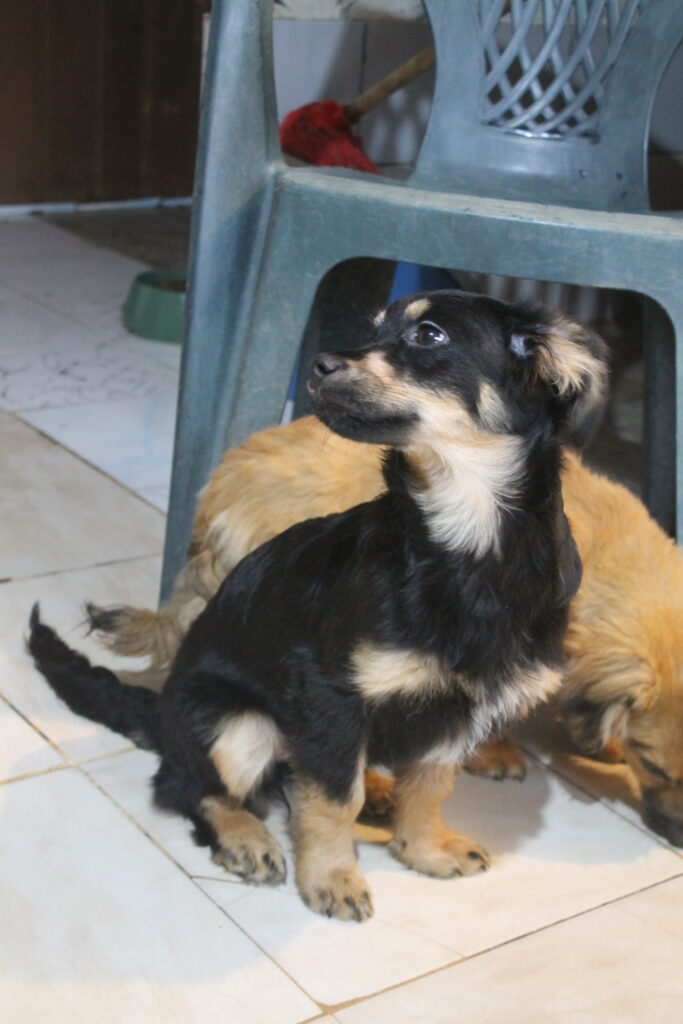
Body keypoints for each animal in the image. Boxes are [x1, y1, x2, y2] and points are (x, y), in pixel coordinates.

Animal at [29, 290, 607, 919]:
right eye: (373, 328)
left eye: (429, 336)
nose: (319, 364)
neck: (468, 537)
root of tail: (162, 714)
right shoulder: (330, 695)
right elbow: (333, 797)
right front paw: (332, 878)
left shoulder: (466, 706)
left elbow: (430, 784)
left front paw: (423, 848)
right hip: (239, 725)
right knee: (189, 785)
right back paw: (246, 837)